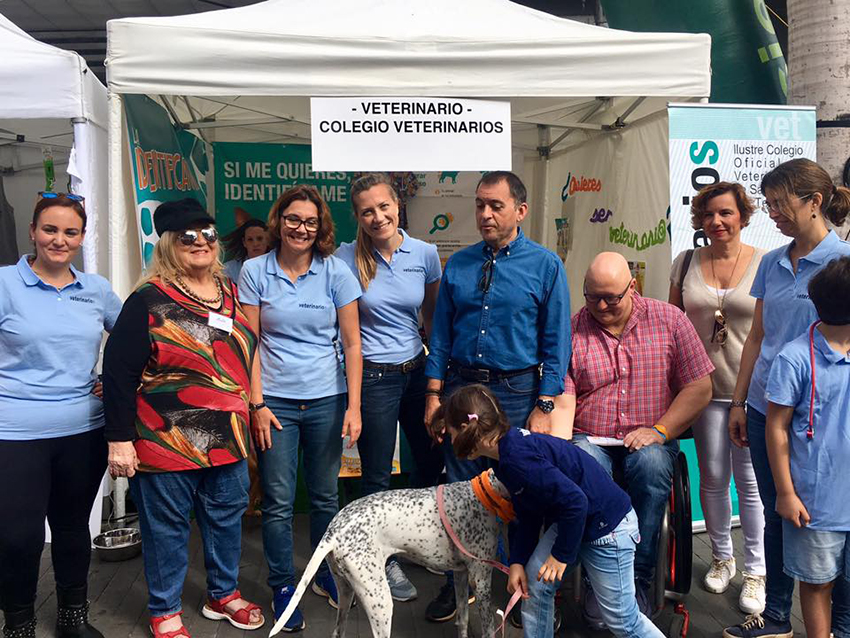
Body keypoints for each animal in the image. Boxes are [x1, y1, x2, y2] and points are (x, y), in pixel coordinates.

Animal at [268, 472, 506, 636]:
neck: (487, 492)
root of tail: (333, 532)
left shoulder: (461, 575)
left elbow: (463, 620)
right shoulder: (481, 580)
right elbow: (488, 630)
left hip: (346, 591)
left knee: (337, 631)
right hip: (380, 601)